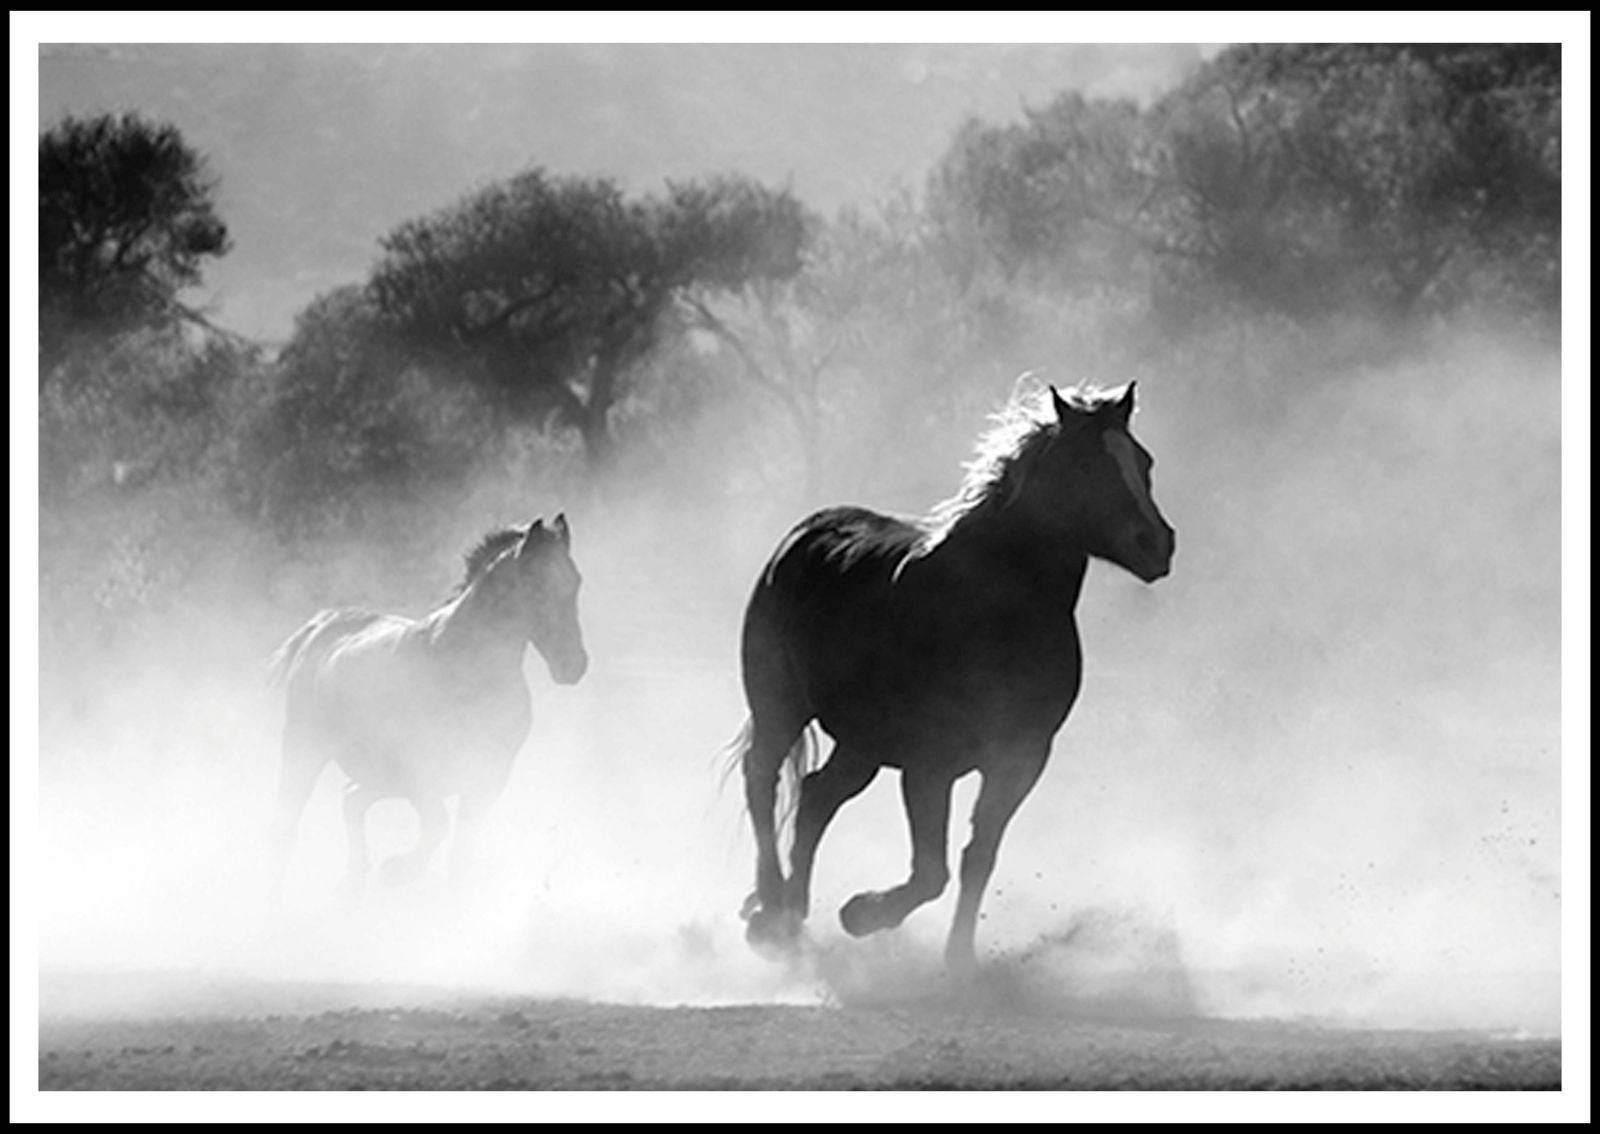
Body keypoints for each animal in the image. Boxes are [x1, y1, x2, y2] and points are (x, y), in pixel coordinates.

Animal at [267, 515, 587, 905]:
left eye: (575, 581)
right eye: (536, 583)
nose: (574, 665)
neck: (466, 667)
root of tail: (322, 626)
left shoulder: (488, 777)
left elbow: (460, 854)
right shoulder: (421, 773)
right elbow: (438, 826)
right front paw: (397, 871)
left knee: (351, 800)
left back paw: (351, 887)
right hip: (305, 750)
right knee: (287, 824)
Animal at [729, 382, 1175, 971]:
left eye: (1143, 462)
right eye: (1086, 464)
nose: (1158, 544)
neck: (993, 610)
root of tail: (804, 534)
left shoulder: (1020, 758)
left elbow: (977, 858)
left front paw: (958, 959)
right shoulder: (929, 764)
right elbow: (930, 872)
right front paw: (862, 914)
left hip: (862, 743)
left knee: (816, 795)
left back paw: (792, 914)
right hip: (780, 706)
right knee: (763, 779)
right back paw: (771, 909)